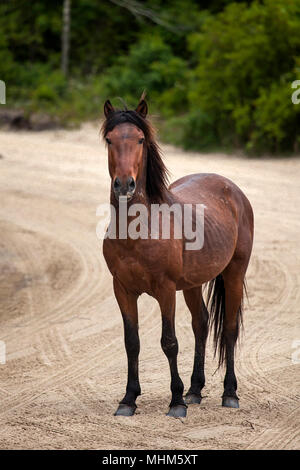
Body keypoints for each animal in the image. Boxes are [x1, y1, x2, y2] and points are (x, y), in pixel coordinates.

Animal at [101, 98, 253, 418]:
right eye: (109, 139)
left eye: (140, 139)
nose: (124, 184)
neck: (138, 229)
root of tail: (232, 189)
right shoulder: (122, 289)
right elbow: (131, 343)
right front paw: (128, 399)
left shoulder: (165, 289)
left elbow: (169, 342)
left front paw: (176, 402)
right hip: (193, 284)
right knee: (202, 324)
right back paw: (195, 390)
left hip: (234, 273)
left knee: (229, 330)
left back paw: (229, 393)